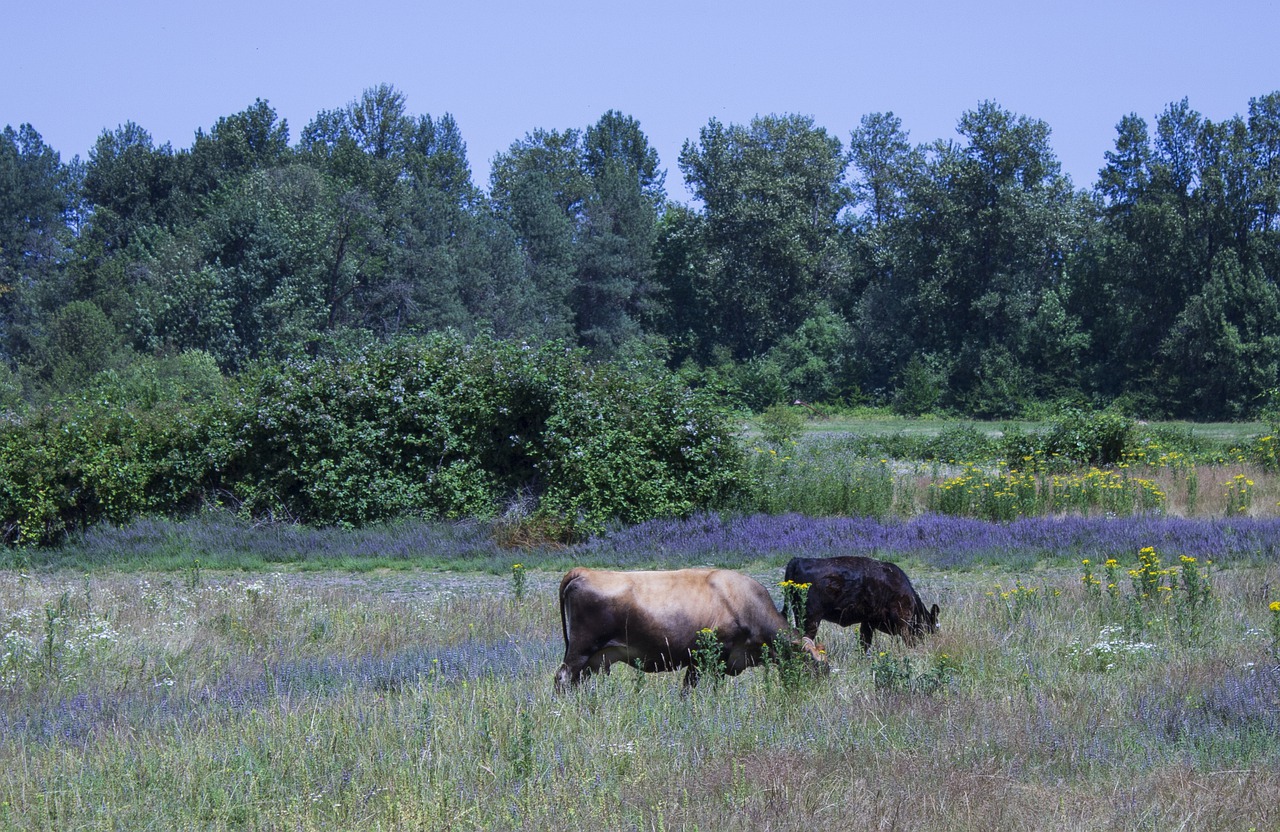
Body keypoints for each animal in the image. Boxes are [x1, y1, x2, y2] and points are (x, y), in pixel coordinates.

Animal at [552, 563, 829, 686]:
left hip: (594, 659)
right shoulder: (710, 657)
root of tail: (585, 571)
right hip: (580, 651)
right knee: (562, 678)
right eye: (816, 666)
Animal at [778, 552, 942, 650]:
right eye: (930, 628)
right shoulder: (903, 622)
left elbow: (865, 644)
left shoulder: (868, 622)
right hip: (811, 619)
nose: (928, 645)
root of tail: (797, 560)